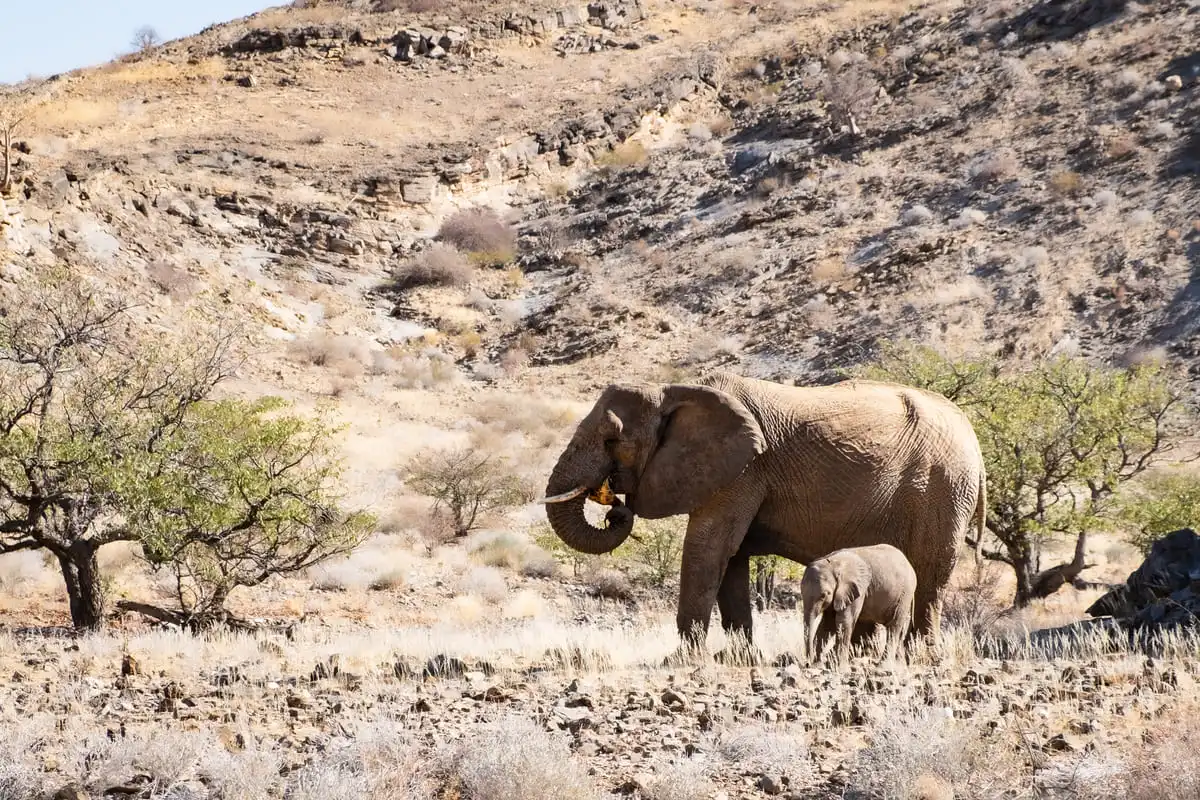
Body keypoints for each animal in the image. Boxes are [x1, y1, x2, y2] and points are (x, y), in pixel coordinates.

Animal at [538, 370, 987, 657]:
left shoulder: (743, 471)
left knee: (930, 575)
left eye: (612, 439)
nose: (614, 506)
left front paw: (682, 661)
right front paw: (739, 657)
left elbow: (708, 547)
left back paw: (919, 658)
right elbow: (730, 559)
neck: (674, 390)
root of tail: (974, 439)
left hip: (943, 489)